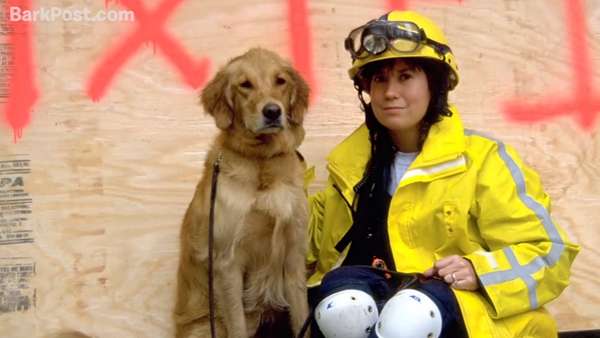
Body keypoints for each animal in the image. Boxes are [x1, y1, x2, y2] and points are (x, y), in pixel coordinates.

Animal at [173, 48, 310, 338]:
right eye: (245, 85)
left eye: (280, 81)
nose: (272, 111)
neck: (261, 162)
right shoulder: (227, 262)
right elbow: (236, 324)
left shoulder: (293, 254)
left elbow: (303, 318)